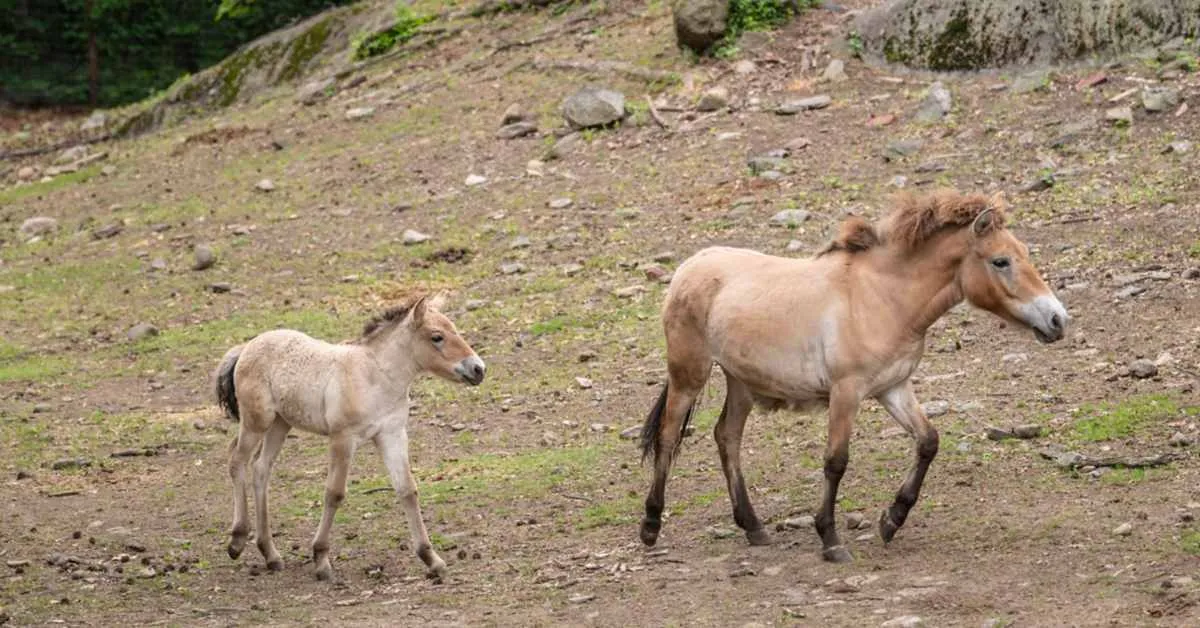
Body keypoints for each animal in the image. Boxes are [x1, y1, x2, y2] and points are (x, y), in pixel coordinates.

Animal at [214, 293, 485, 580]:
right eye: (437, 337)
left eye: (454, 329)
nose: (478, 369)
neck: (374, 377)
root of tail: (246, 347)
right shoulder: (342, 439)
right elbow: (335, 493)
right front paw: (321, 559)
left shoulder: (392, 435)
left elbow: (407, 490)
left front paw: (432, 559)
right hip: (257, 422)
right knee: (237, 460)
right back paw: (237, 540)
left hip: (280, 423)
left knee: (260, 468)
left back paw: (270, 554)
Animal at [637, 189, 1069, 562]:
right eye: (1001, 261)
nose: (1057, 320)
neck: (882, 298)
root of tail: (690, 266)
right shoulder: (847, 392)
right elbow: (836, 461)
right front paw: (830, 539)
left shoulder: (894, 387)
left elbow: (928, 441)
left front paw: (891, 520)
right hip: (690, 374)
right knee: (669, 435)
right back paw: (651, 525)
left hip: (740, 380)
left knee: (727, 437)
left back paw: (753, 526)